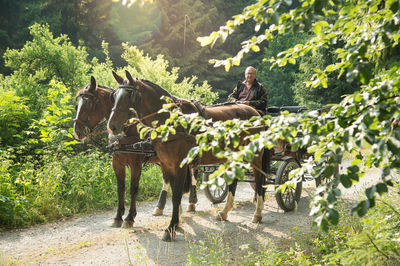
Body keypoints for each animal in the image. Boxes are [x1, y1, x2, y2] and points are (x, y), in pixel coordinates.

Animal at [73, 76, 198, 228]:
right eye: (77, 105)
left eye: (88, 104)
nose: (77, 132)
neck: (129, 129)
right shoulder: (117, 162)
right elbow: (120, 188)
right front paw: (118, 216)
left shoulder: (136, 163)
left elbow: (133, 188)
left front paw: (129, 217)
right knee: (169, 180)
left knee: (193, 175)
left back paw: (191, 203)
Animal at [107, 70, 268, 241]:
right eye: (114, 96)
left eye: (129, 95)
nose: (112, 127)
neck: (172, 121)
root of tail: (256, 113)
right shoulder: (166, 163)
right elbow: (170, 191)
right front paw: (176, 222)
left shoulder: (177, 165)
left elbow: (176, 195)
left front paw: (170, 227)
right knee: (233, 181)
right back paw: (224, 212)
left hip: (255, 156)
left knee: (259, 180)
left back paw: (257, 214)